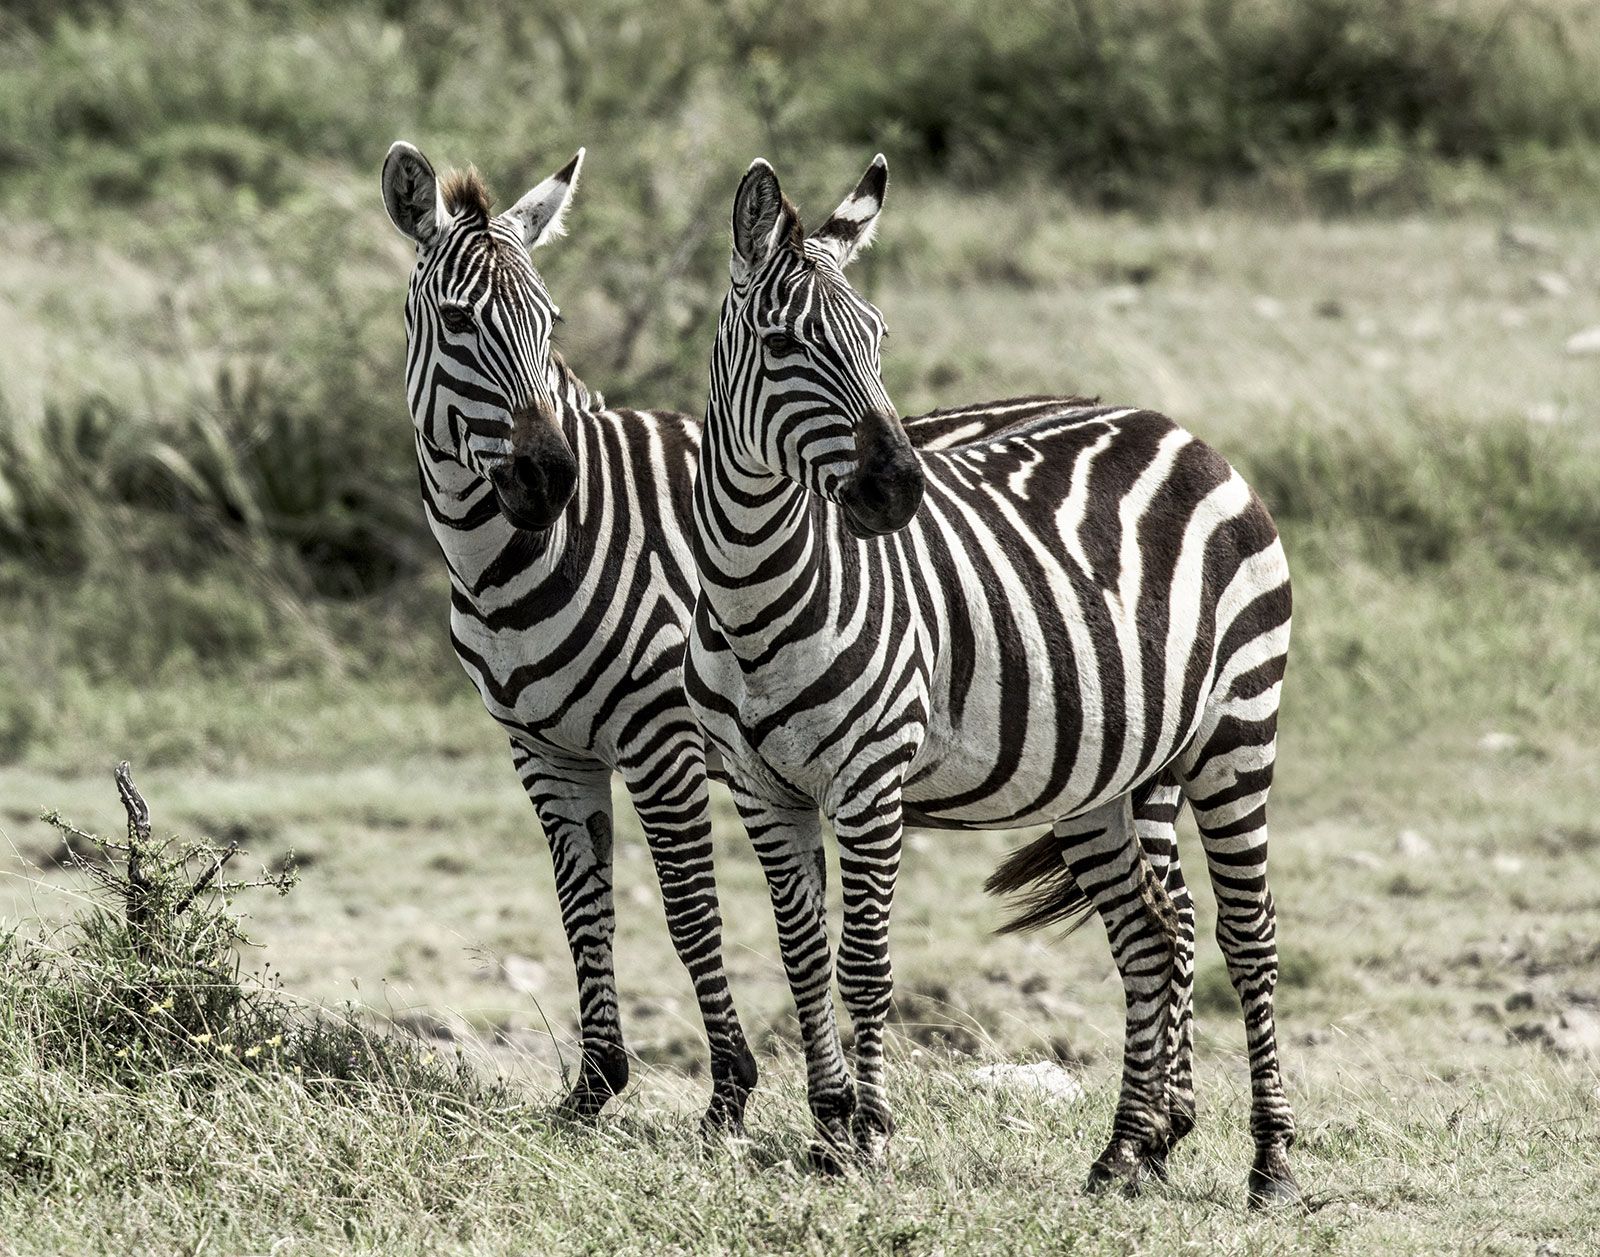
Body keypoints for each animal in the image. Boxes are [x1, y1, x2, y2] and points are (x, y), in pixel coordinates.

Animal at [684, 156, 1299, 1202]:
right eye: (783, 342)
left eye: (880, 338)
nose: (898, 490)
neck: (754, 585)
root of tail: (1180, 430)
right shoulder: (762, 788)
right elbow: (802, 956)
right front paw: (827, 1125)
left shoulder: (871, 778)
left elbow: (864, 962)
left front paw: (868, 1134)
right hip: (1110, 771)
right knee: (1153, 934)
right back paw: (1127, 1149)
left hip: (1236, 733)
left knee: (1247, 938)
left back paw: (1273, 1163)